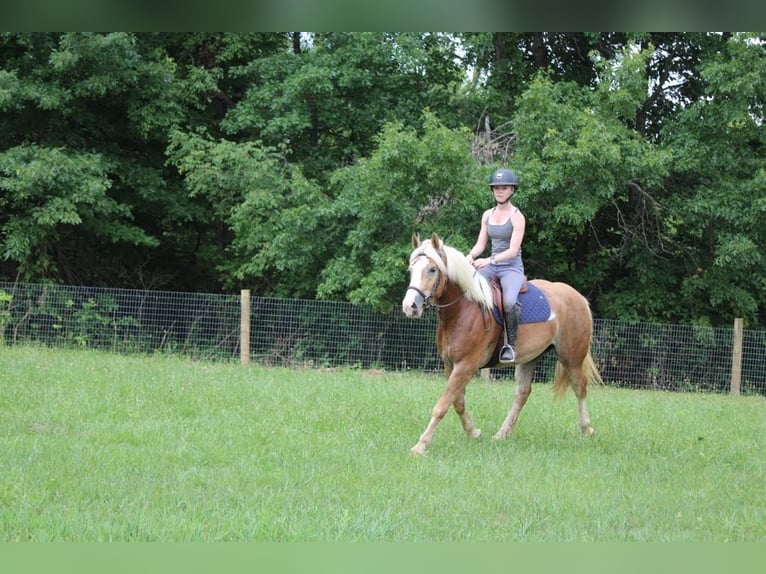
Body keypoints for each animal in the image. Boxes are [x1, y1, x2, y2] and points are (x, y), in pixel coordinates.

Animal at [402, 235, 600, 460]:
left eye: (432, 270)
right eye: (412, 269)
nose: (410, 307)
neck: (463, 310)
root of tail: (578, 297)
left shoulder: (466, 366)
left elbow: (442, 404)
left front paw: (420, 445)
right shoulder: (450, 365)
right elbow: (457, 403)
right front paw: (474, 432)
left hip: (571, 357)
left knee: (580, 388)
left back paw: (587, 429)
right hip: (529, 358)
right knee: (522, 393)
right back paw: (502, 434)